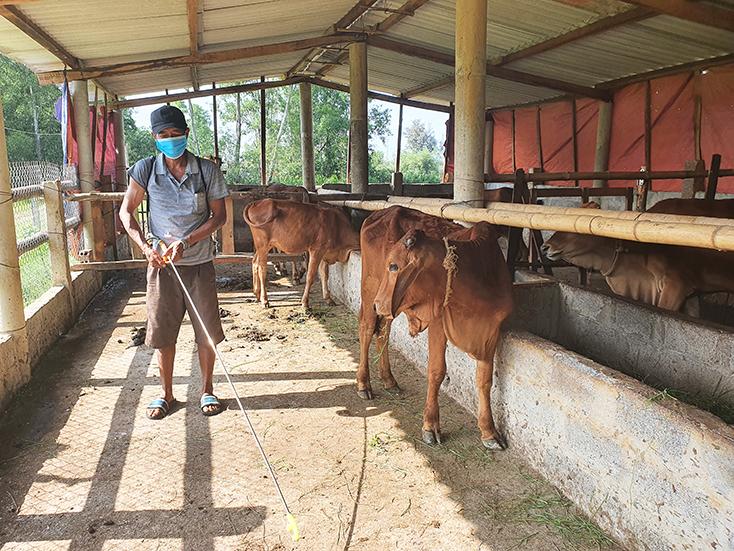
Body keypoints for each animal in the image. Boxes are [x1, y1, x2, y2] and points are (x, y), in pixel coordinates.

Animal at [360, 207, 512, 448]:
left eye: (394, 266)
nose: (378, 304)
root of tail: (381, 213)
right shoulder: (439, 324)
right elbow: (437, 371)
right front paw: (430, 426)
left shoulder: (491, 331)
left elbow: (484, 380)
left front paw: (489, 432)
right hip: (371, 288)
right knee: (366, 329)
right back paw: (363, 384)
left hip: (390, 307)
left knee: (383, 333)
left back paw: (389, 380)